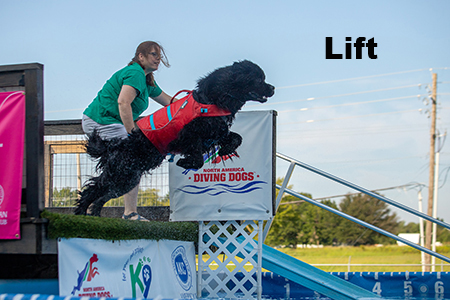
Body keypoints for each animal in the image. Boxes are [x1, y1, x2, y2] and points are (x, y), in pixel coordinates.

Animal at [74, 60, 274, 216]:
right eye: (259, 79)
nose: (272, 87)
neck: (211, 99)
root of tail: (114, 146)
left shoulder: (215, 132)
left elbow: (236, 138)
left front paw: (226, 150)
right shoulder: (188, 135)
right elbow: (197, 157)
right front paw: (185, 163)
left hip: (128, 178)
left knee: (102, 195)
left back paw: (94, 214)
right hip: (120, 172)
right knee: (92, 189)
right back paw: (81, 213)